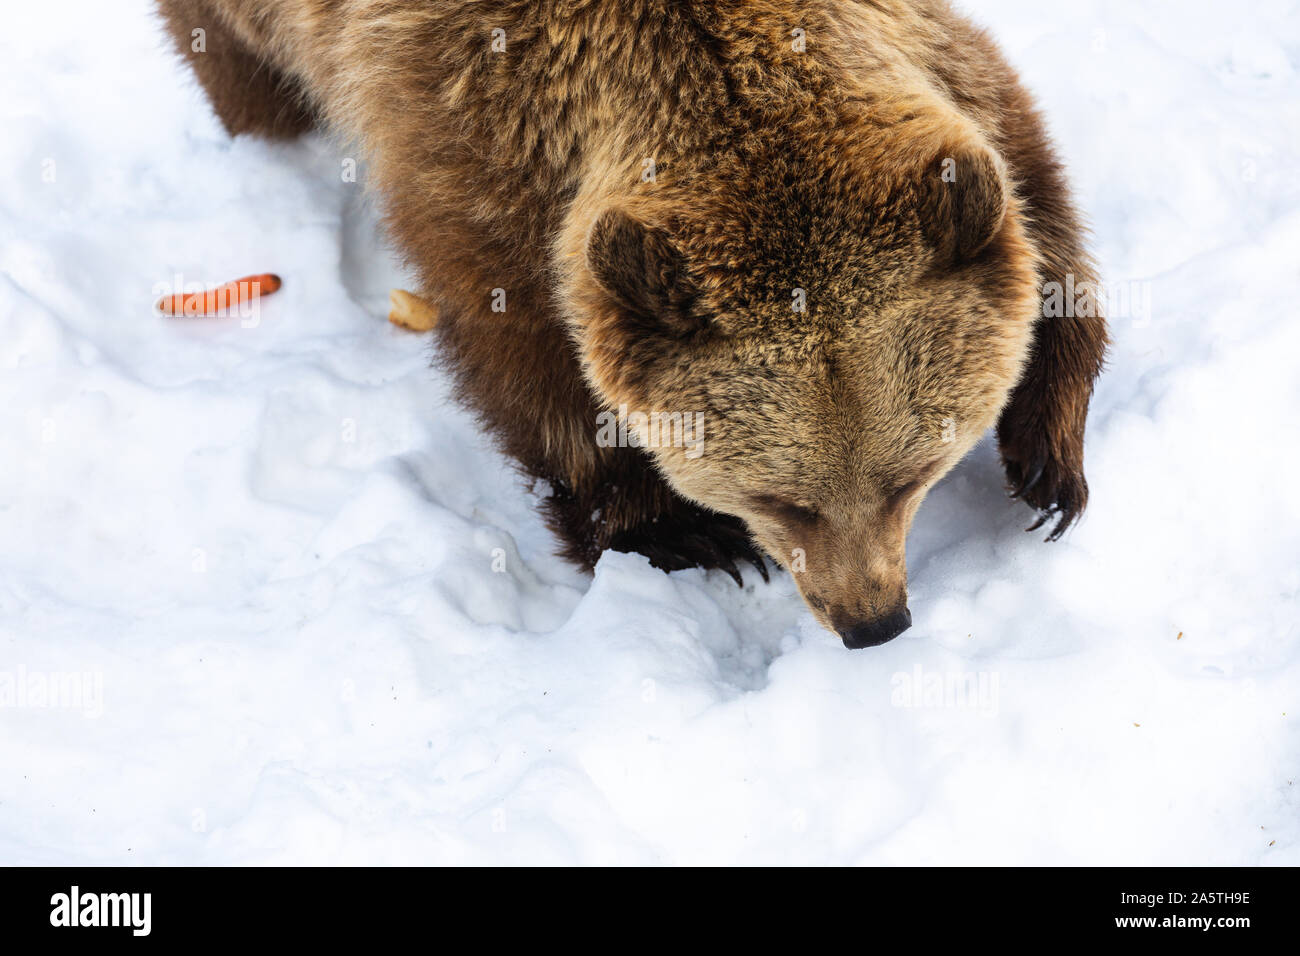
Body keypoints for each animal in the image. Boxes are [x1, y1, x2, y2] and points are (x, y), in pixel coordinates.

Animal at [152, 0, 1107, 650]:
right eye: (780, 501)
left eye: (911, 478)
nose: (874, 620)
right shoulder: (477, 143)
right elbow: (532, 363)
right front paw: (680, 533)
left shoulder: (928, 62)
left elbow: (1031, 198)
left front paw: (1047, 459)